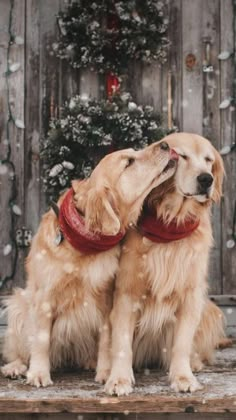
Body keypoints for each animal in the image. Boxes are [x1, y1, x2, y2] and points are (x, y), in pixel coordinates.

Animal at [0, 140, 178, 388]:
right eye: (129, 162)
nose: (165, 144)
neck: (83, 240)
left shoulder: (106, 298)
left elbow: (106, 339)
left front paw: (105, 372)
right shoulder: (44, 298)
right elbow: (41, 340)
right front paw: (38, 373)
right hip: (17, 305)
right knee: (17, 349)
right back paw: (15, 367)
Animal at [106, 133, 226, 396]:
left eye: (208, 160)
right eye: (182, 156)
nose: (206, 179)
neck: (172, 222)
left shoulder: (191, 294)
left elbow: (181, 343)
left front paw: (183, 377)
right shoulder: (127, 292)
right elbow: (121, 342)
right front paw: (119, 379)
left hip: (210, 309)